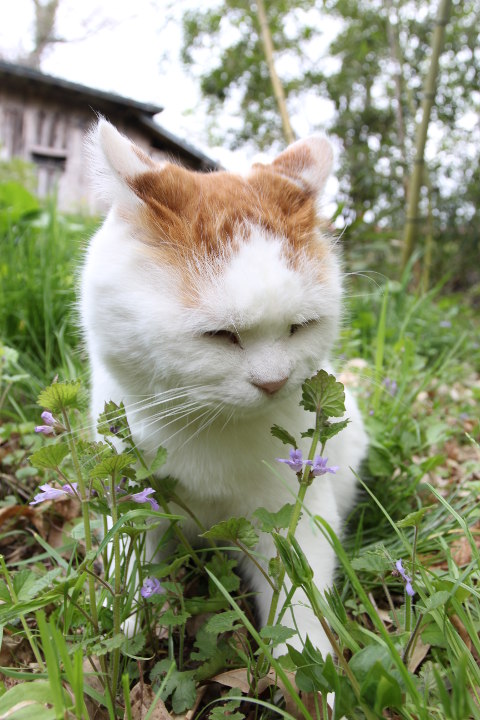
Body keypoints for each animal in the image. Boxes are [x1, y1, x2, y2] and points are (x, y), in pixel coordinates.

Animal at [81, 119, 368, 660]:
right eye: (219, 335)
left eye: (300, 327)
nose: (273, 381)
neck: (211, 429)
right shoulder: (131, 495)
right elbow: (128, 564)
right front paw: (119, 629)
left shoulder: (292, 510)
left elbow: (299, 598)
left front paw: (311, 665)